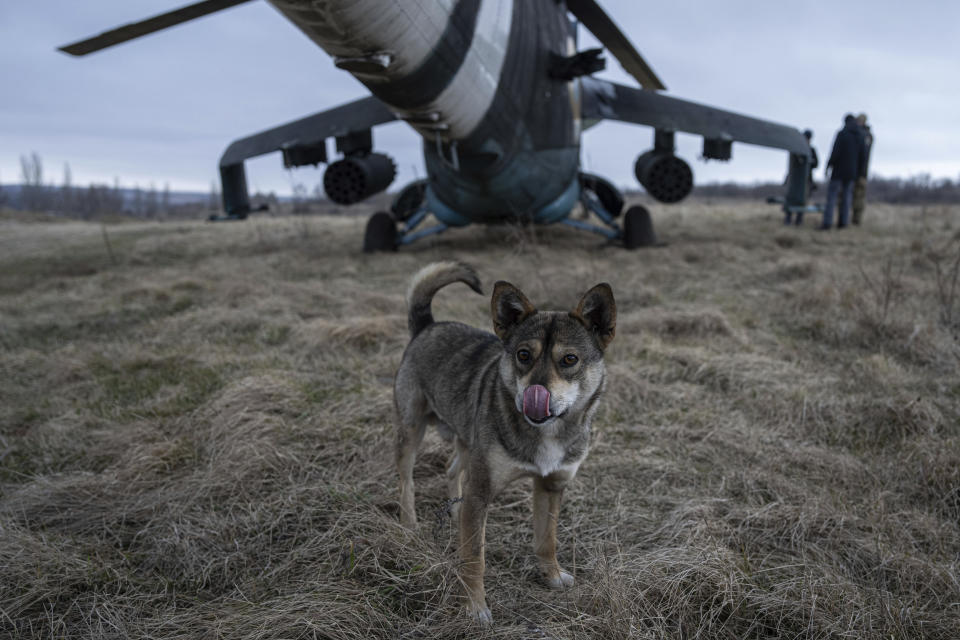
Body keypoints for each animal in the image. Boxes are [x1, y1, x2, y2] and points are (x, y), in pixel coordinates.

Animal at [396, 258, 616, 620]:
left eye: (570, 359)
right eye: (523, 355)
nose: (533, 395)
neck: (546, 431)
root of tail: (428, 325)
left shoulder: (551, 486)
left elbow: (547, 538)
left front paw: (552, 575)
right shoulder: (482, 488)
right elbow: (474, 557)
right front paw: (474, 606)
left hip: (467, 441)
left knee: (452, 469)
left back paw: (456, 512)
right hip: (411, 429)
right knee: (407, 480)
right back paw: (409, 523)